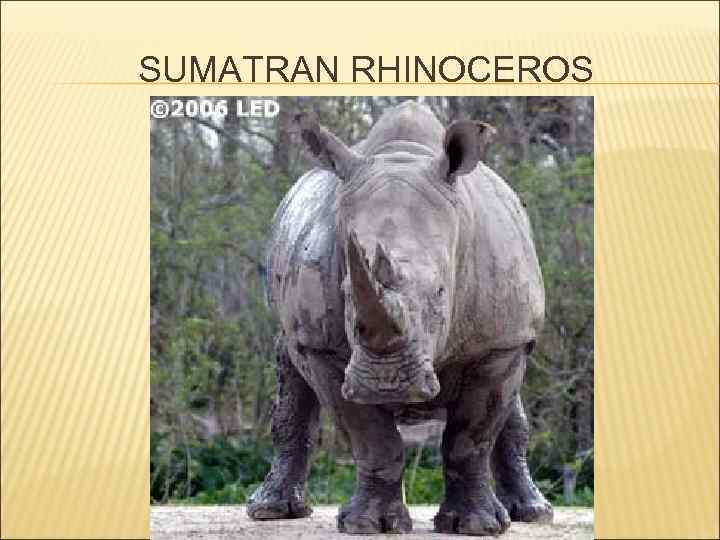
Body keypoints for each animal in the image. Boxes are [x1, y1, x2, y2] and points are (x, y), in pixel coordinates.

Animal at [247, 101, 552, 536]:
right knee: (288, 366)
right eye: (346, 292)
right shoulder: (321, 347)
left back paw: (533, 513)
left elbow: (471, 437)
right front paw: (368, 524)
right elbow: (372, 439)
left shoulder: (501, 342)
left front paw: (476, 526)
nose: (387, 383)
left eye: (441, 291)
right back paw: (270, 511)